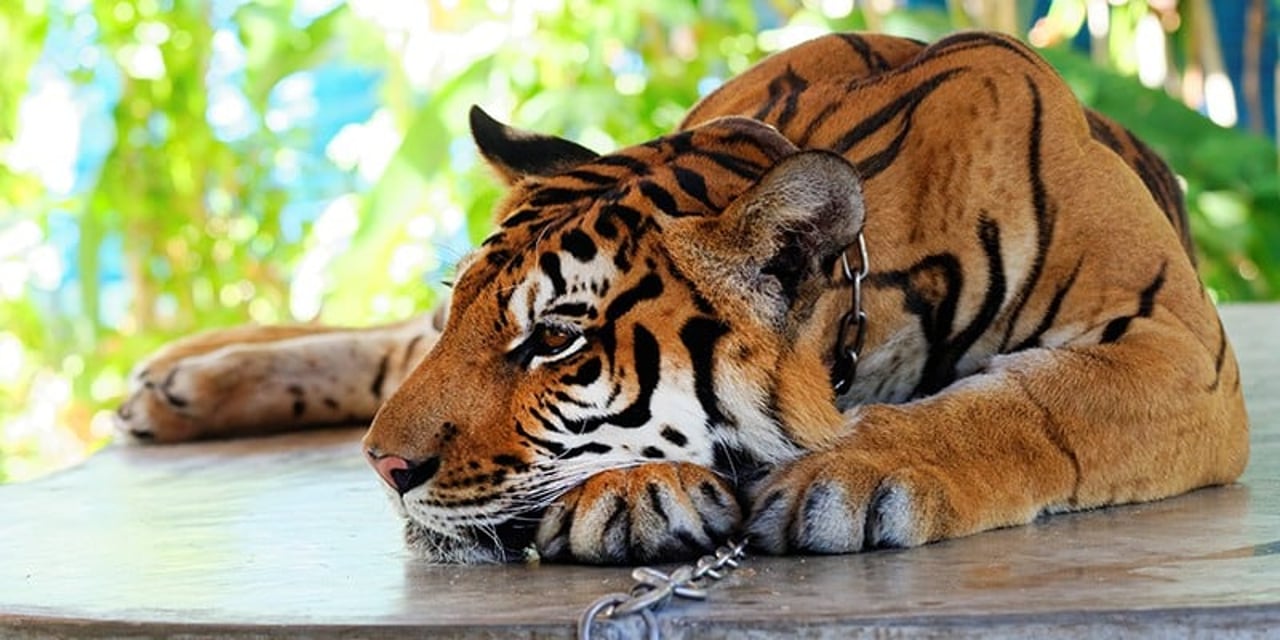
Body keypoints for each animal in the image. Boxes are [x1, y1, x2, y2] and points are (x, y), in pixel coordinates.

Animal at [112, 31, 1249, 565]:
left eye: (555, 340)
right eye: (475, 311)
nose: (385, 469)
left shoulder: (1173, 343)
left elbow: (1033, 403)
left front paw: (859, 472)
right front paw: (629, 490)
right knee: (389, 344)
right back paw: (176, 378)